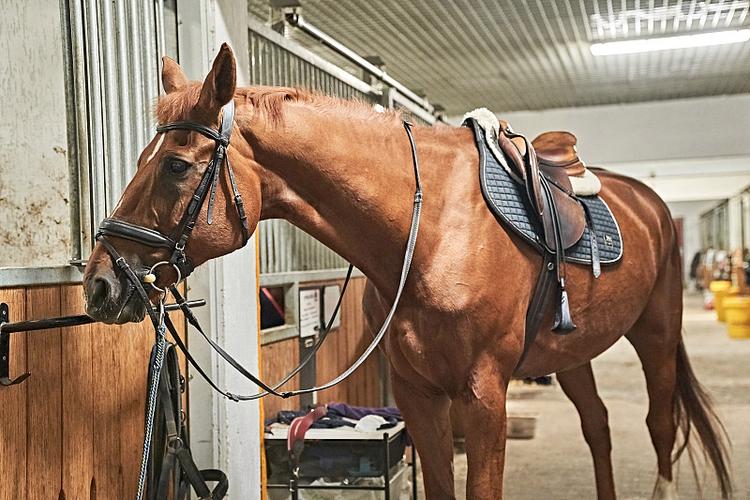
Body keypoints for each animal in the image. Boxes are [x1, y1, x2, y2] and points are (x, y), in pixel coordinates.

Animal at [82, 44, 731, 500]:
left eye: (175, 166)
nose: (100, 283)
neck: (431, 235)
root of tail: (650, 204)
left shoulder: (484, 400)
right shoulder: (420, 395)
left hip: (656, 335)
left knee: (659, 425)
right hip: (573, 354)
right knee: (598, 426)